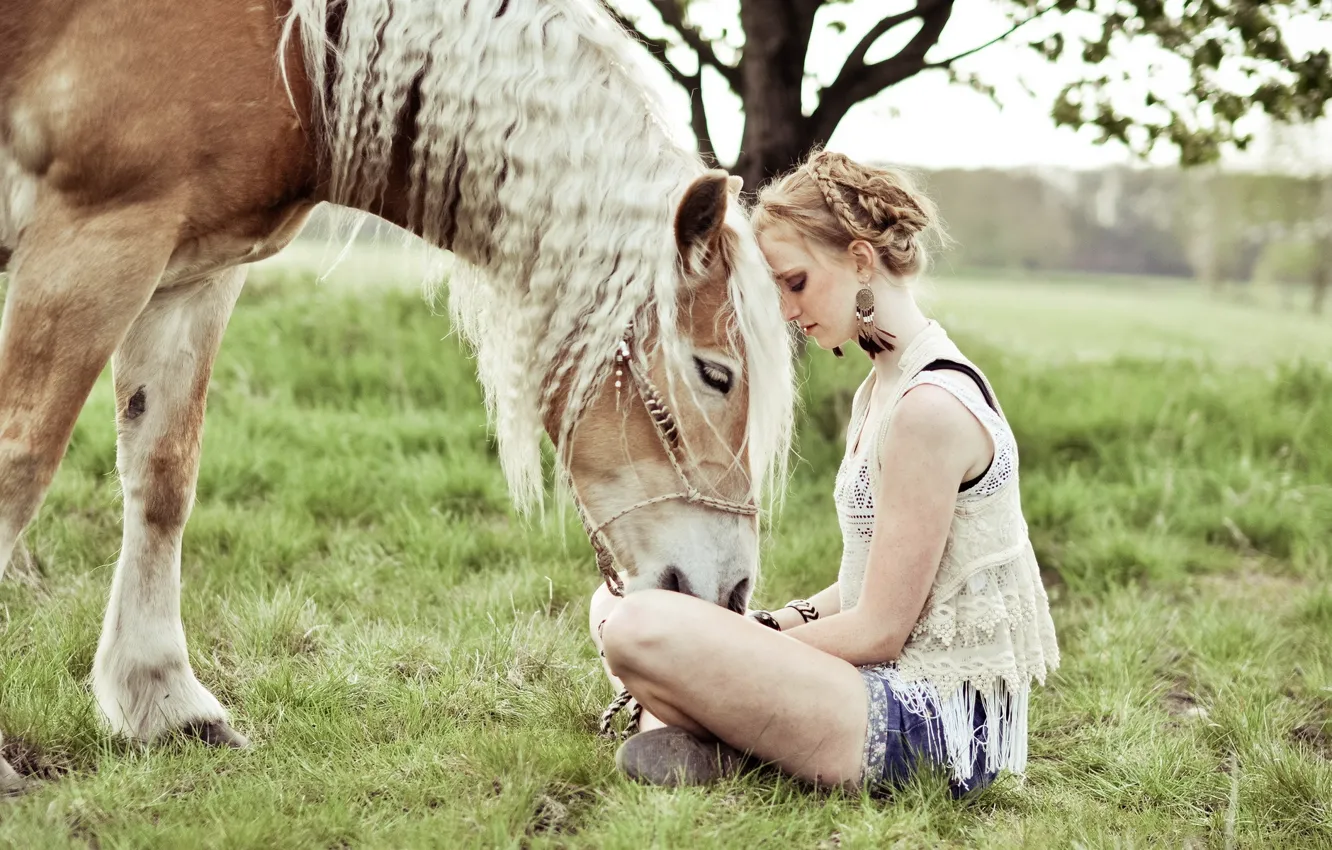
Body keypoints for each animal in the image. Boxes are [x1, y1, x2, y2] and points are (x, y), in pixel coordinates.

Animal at [0, 0, 795, 785]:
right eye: (715, 374)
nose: (733, 595)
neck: (290, 58)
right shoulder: (96, 242)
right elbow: (21, 464)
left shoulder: (191, 276)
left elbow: (163, 480)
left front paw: (166, 703)